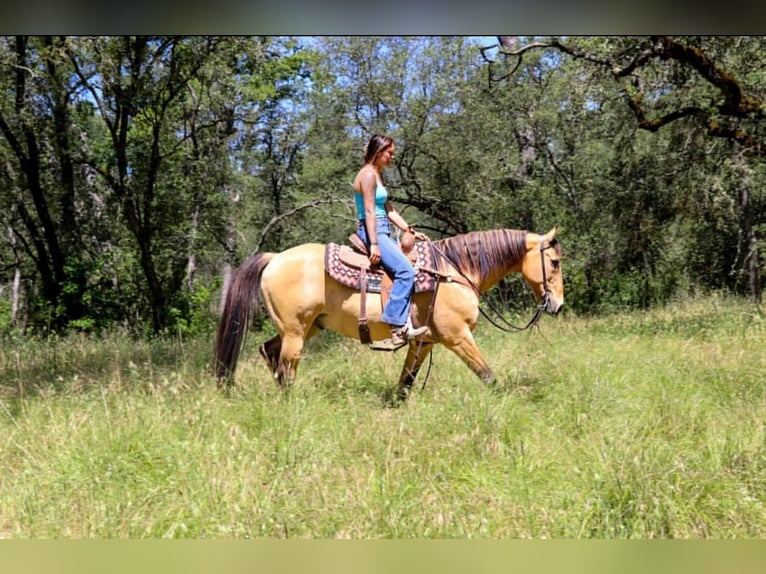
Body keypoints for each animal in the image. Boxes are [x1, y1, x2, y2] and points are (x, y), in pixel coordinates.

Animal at [216, 227, 564, 402]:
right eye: (555, 262)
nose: (557, 305)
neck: (454, 271)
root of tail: (274, 258)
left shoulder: (424, 343)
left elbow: (405, 382)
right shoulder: (457, 337)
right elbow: (487, 374)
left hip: (308, 328)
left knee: (268, 351)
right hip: (296, 333)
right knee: (286, 366)